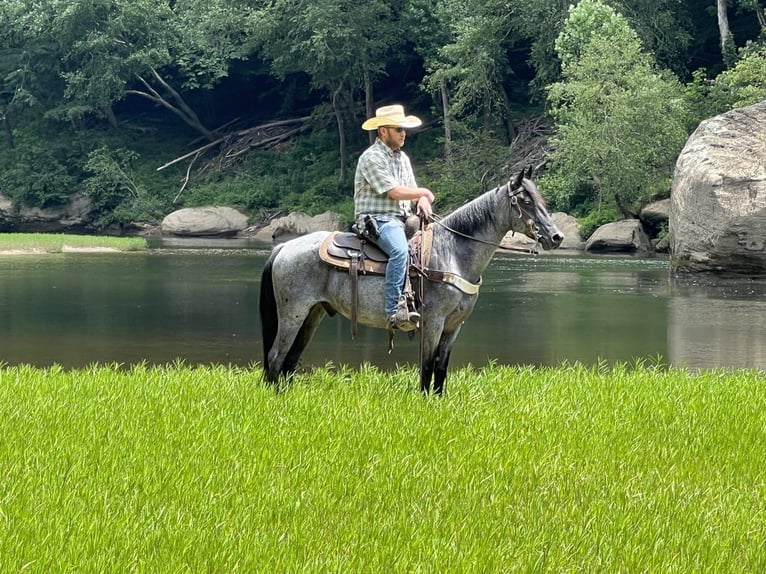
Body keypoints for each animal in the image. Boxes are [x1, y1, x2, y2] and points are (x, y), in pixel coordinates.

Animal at [260, 168, 568, 396]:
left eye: (540, 198)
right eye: (525, 201)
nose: (556, 237)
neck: (452, 252)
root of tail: (284, 247)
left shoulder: (454, 325)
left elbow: (441, 369)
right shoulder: (433, 321)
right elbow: (427, 366)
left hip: (313, 314)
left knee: (290, 359)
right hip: (293, 313)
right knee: (276, 357)